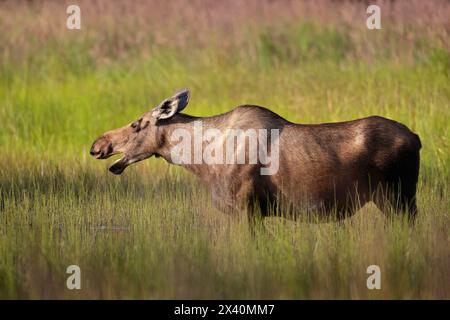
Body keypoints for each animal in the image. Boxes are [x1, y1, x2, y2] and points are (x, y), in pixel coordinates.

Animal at [90, 88, 422, 225]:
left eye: (136, 124)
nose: (98, 144)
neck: (202, 162)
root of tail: (417, 139)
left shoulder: (247, 208)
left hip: (396, 198)